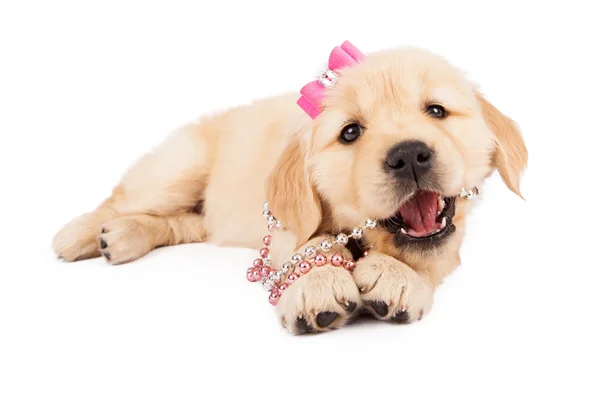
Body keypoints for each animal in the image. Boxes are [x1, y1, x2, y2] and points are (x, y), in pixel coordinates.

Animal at [54, 47, 528, 334]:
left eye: (437, 111)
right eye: (350, 132)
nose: (409, 155)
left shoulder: (451, 241)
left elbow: (434, 256)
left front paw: (397, 274)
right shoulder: (282, 227)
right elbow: (310, 241)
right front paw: (318, 280)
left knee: (186, 223)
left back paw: (123, 236)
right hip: (179, 167)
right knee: (120, 199)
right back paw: (80, 234)